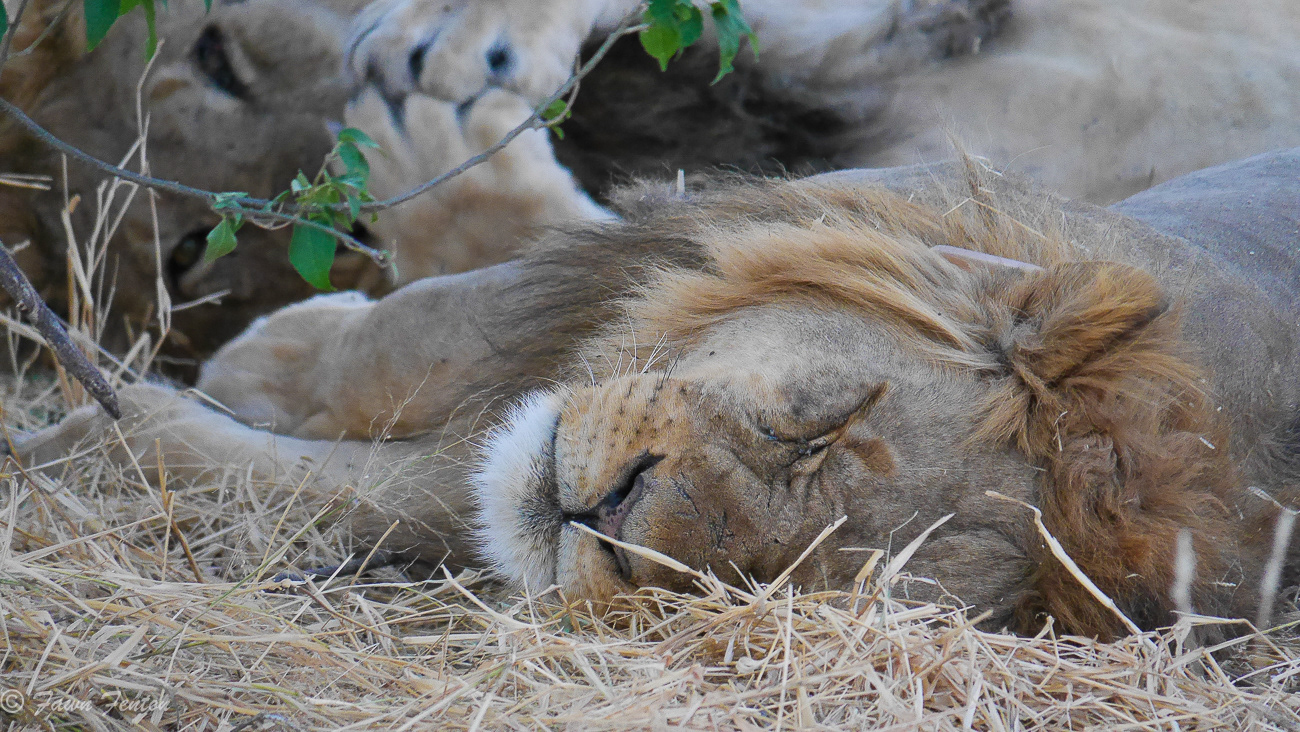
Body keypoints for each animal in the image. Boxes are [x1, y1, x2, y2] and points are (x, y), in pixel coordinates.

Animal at [13, 148, 1300, 639]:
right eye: (812, 429)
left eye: (775, 585)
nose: (606, 513)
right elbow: (423, 329)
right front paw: (265, 356)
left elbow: (381, 492)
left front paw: (91, 442)